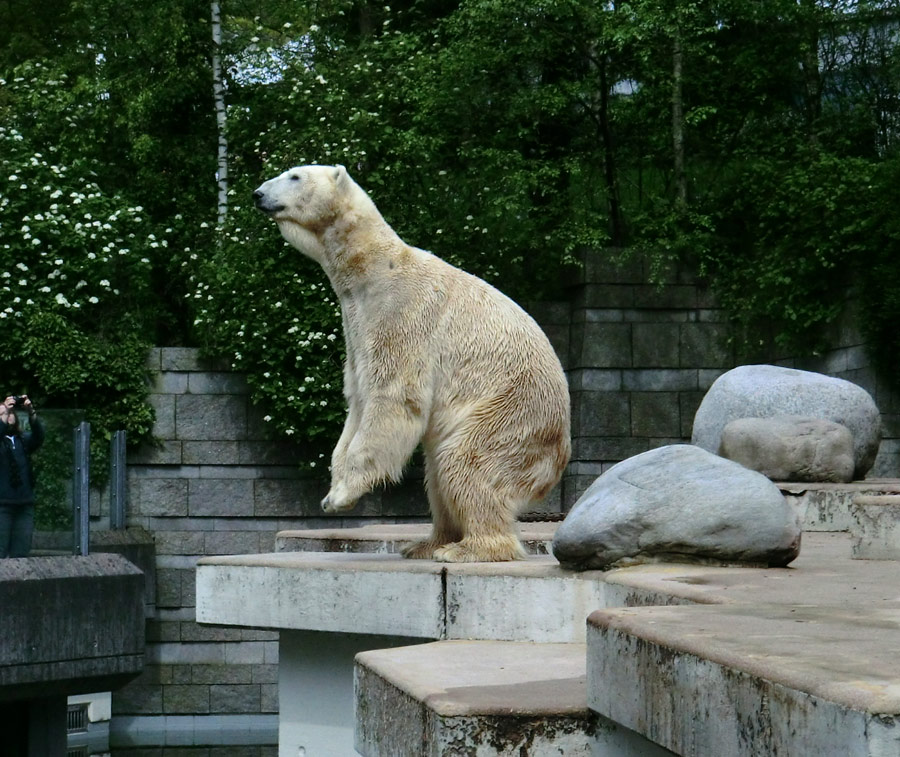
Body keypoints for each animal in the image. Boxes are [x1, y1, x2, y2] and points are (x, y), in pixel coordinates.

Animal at [255, 165, 568, 560]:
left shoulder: (400, 316)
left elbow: (392, 397)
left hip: (512, 414)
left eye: (294, 176)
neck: (370, 270)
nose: (258, 194)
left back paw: (467, 549)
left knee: (466, 464)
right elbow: (358, 401)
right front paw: (330, 494)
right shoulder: (356, 328)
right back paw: (427, 542)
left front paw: (343, 495)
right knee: (437, 475)